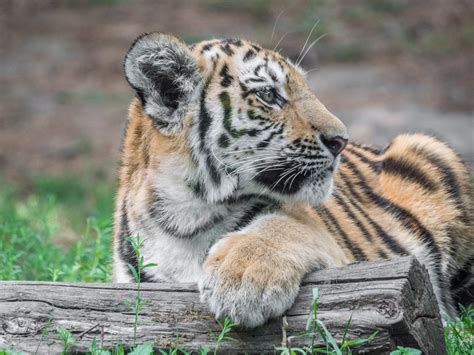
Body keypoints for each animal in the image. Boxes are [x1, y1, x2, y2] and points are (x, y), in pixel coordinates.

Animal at [113, 33, 472, 328]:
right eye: (269, 95)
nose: (340, 140)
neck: (187, 216)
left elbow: (281, 228)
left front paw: (241, 283)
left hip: (427, 148)